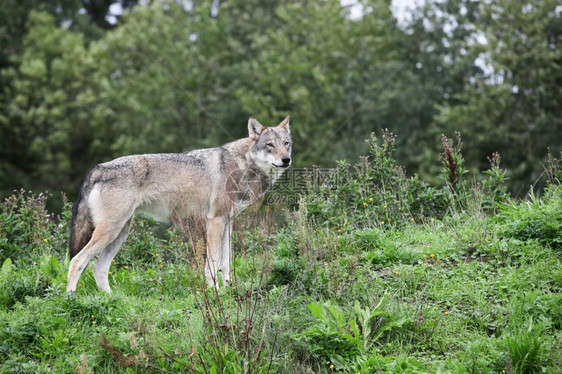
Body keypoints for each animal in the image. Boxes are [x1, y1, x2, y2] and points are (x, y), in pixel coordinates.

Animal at [66, 117, 288, 292]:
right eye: (270, 145)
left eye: (286, 143)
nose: (287, 159)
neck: (242, 165)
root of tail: (98, 168)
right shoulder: (215, 221)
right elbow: (212, 264)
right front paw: (216, 291)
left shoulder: (228, 222)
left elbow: (226, 263)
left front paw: (230, 291)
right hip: (110, 231)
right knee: (77, 261)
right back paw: (72, 300)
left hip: (120, 233)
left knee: (99, 268)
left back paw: (111, 300)